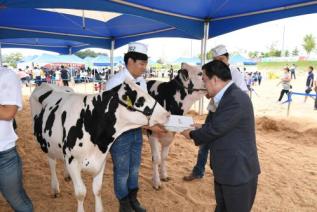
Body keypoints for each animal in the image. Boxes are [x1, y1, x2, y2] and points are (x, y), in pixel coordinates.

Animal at [29, 80, 170, 212]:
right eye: (140, 99)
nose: (167, 114)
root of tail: (46, 84)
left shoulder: (101, 160)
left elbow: (97, 189)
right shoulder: (72, 161)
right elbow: (81, 193)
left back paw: (66, 176)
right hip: (47, 144)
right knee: (52, 163)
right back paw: (55, 188)